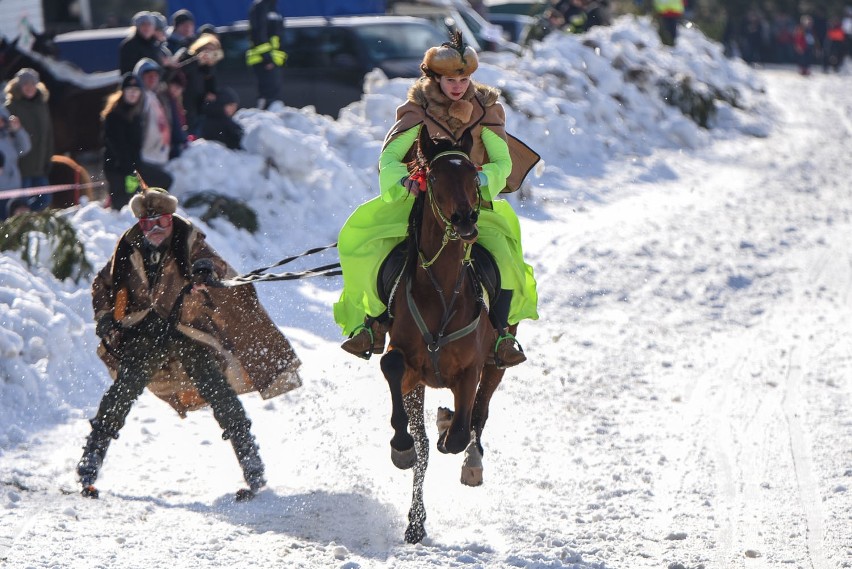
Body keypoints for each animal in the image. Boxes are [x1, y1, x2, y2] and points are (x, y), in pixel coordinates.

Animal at [378, 126, 510, 544]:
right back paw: (416, 520)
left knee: (480, 415)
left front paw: (451, 429)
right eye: (433, 177)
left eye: (473, 175)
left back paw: (469, 458)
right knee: (425, 448)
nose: (466, 218)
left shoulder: (470, 370)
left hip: (498, 360)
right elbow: (392, 365)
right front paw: (401, 445)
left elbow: (462, 430)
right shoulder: (409, 367)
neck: (441, 291)